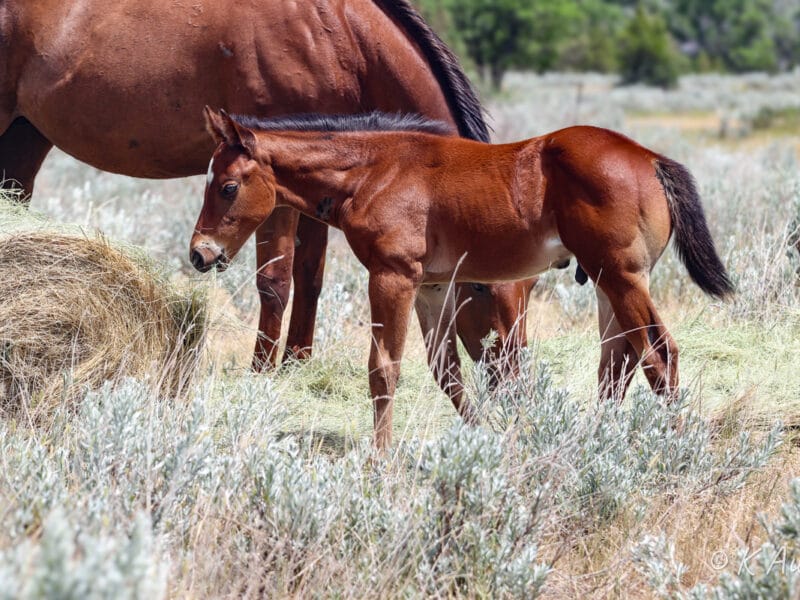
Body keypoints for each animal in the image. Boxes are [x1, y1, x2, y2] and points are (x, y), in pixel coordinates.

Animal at [1, 0, 536, 370]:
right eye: (482, 287)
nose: (513, 377)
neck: (336, 38)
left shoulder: (322, 182)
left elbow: (311, 275)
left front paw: (296, 365)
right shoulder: (274, 188)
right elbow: (275, 281)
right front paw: (261, 373)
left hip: (27, 132)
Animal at [191, 109, 736, 450]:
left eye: (229, 186)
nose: (200, 253)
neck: (375, 171)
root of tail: (650, 158)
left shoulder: (392, 277)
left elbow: (383, 370)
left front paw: (380, 459)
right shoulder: (432, 287)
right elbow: (446, 371)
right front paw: (489, 437)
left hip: (620, 277)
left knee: (657, 354)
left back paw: (678, 446)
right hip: (608, 282)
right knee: (617, 362)